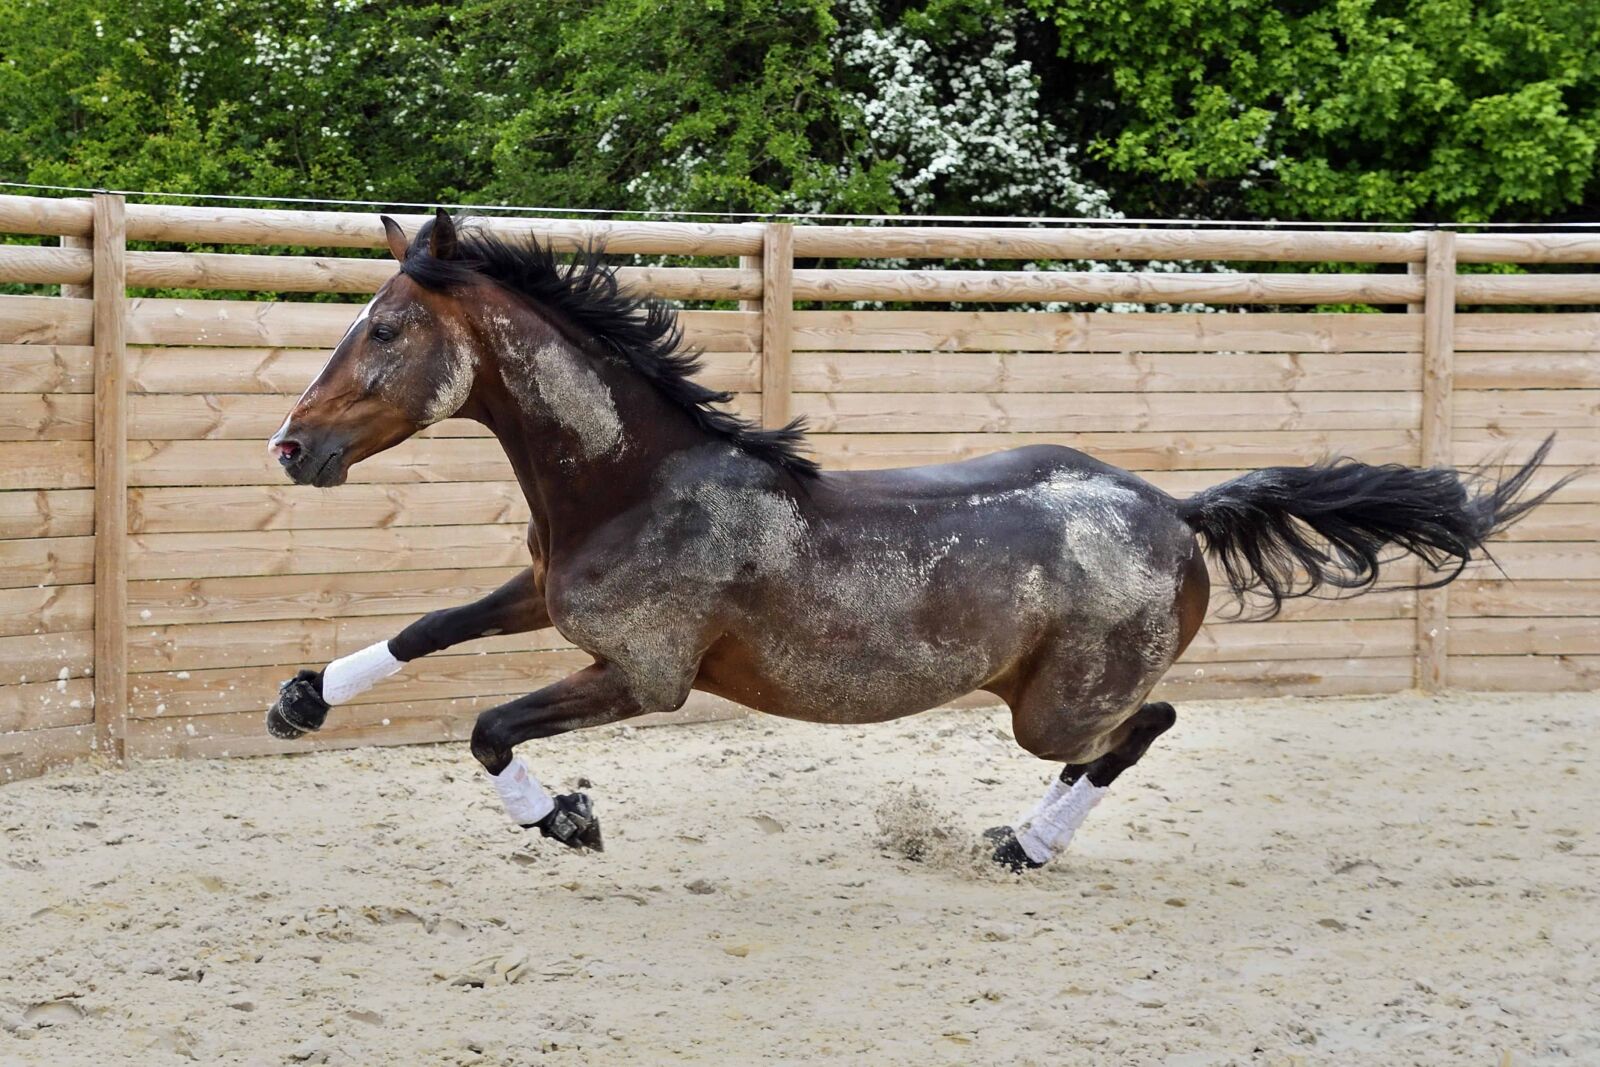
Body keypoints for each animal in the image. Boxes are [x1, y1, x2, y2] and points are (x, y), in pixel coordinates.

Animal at [265, 210, 1564, 870]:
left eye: (384, 329)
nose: (291, 446)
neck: (637, 483)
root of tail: (1175, 509)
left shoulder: (641, 674)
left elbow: (488, 724)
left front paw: (566, 817)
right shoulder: (548, 597)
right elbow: (429, 626)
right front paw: (299, 700)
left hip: (1055, 704)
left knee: (1142, 724)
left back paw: (1027, 843)